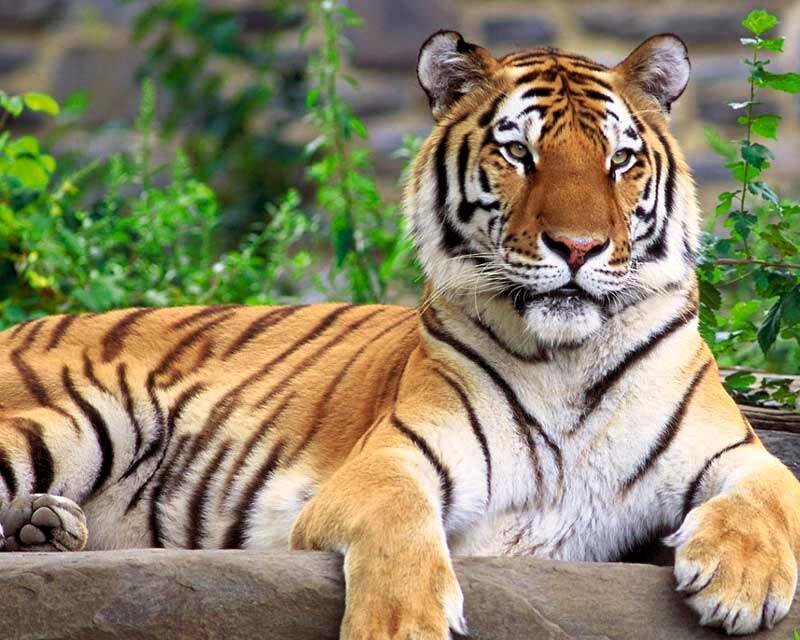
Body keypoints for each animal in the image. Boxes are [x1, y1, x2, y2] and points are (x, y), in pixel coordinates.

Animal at [0, 29, 798, 639]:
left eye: (620, 160)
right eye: (519, 154)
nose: (578, 248)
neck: (567, 359)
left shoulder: (733, 449)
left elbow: (776, 489)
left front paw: (741, 583)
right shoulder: (390, 460)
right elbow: (400, 523)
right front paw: (402, 625)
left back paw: (42, 527)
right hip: (91, 416)